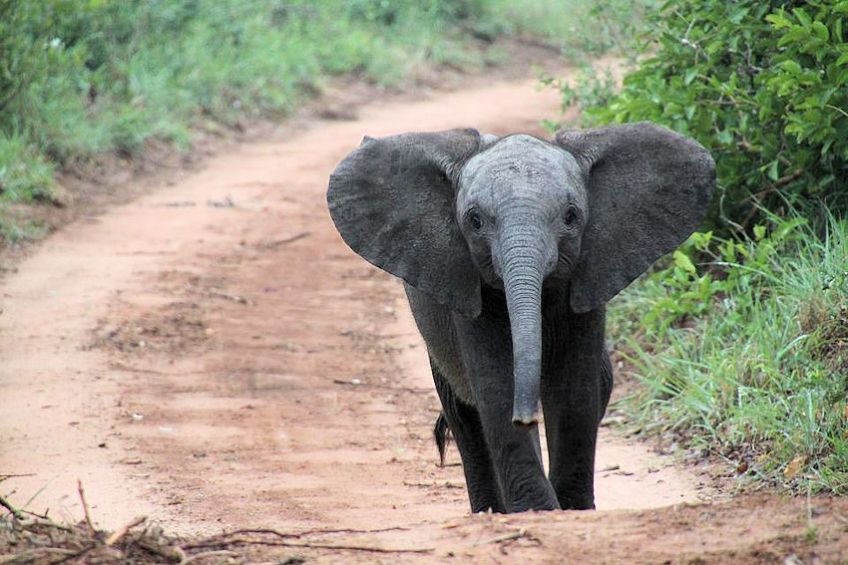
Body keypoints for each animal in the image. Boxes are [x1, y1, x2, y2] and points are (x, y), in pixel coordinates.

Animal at [327, 123, 715, 513]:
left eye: (571, 216)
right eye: (475, 221)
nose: (525, 418)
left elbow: (575, 389)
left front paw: (573, 508)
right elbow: (496, 385)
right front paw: (538, 510)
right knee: (462, 414)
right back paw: (490, 510)